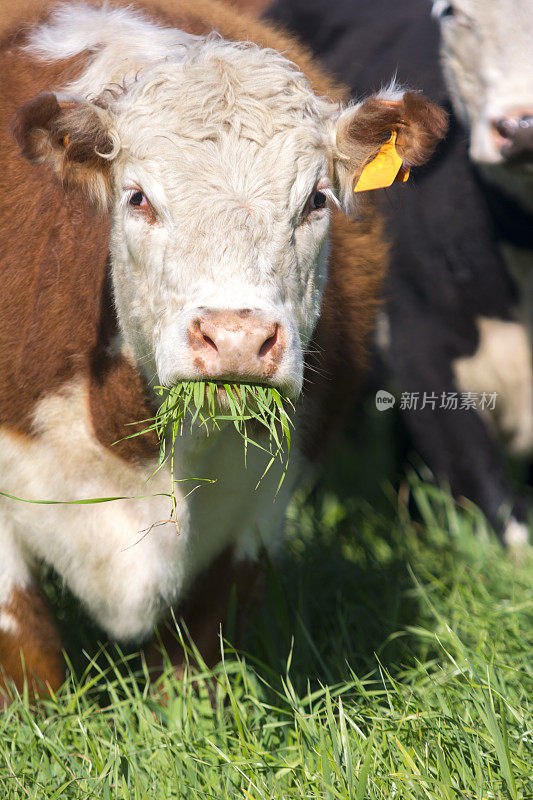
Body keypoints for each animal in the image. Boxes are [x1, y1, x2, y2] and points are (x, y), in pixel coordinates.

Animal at [0, 0, 444, 700]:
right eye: (138, 198)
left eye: (315, 200)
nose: (236, 337)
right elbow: (27, 658)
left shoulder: (258, 509)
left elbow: (197, 656)